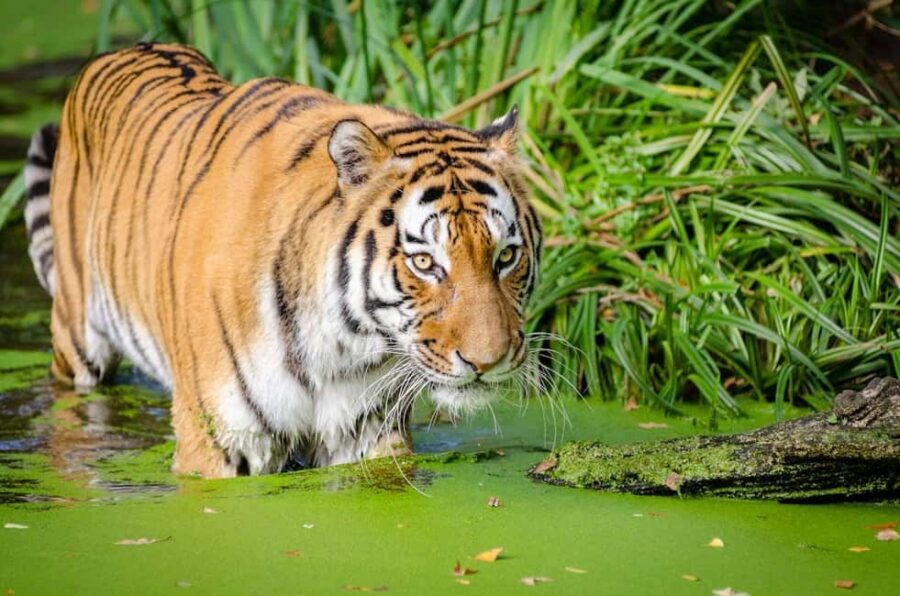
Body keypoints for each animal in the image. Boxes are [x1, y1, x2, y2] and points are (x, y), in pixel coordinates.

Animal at [22, 42, 543, 478]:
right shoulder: (217, 440)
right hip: (77, 342)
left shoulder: (366, 432)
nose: (487, 362)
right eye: (424, 263)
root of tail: (123, 49)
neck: (343, 346)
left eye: (506, 256)